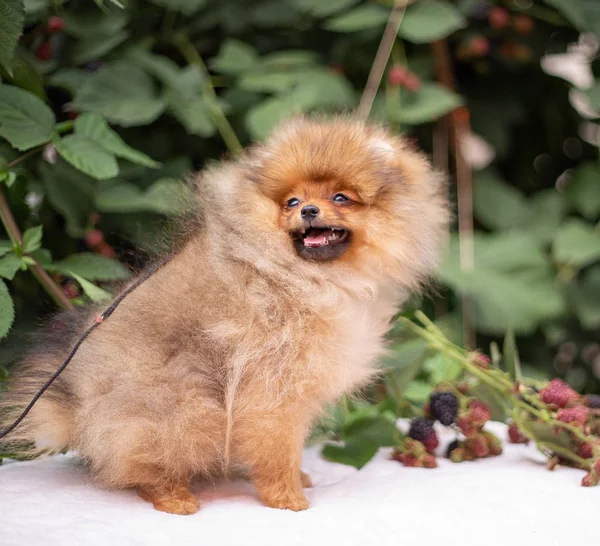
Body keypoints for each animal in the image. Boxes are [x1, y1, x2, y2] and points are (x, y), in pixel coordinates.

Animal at [0, 117, 448, 512]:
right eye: (292, 201)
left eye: (340, 198)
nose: (307, 210)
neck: (302, 274)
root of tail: (77, 405)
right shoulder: (272, 386)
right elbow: (278, 450)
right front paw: (288, 498)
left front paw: (298, 480)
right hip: (183, 402)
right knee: (139, 458)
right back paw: (174, 497)